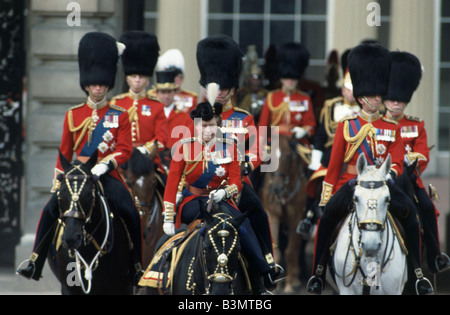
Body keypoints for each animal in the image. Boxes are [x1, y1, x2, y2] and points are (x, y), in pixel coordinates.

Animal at [49, 152, 134, 296]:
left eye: (89, 194)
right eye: (60, 195)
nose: (71, 238)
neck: (88, 250)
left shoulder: (122, 288)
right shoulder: (68, 288)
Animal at [260, 134, 310, 294]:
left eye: (288, 157)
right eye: (268, 156)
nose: (276, 188)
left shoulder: (295, 218)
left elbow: (290, 250)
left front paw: (289, 286)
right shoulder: (272, 215)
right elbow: (276, 251)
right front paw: (275, 282)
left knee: (297, 245)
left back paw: (294, 278)